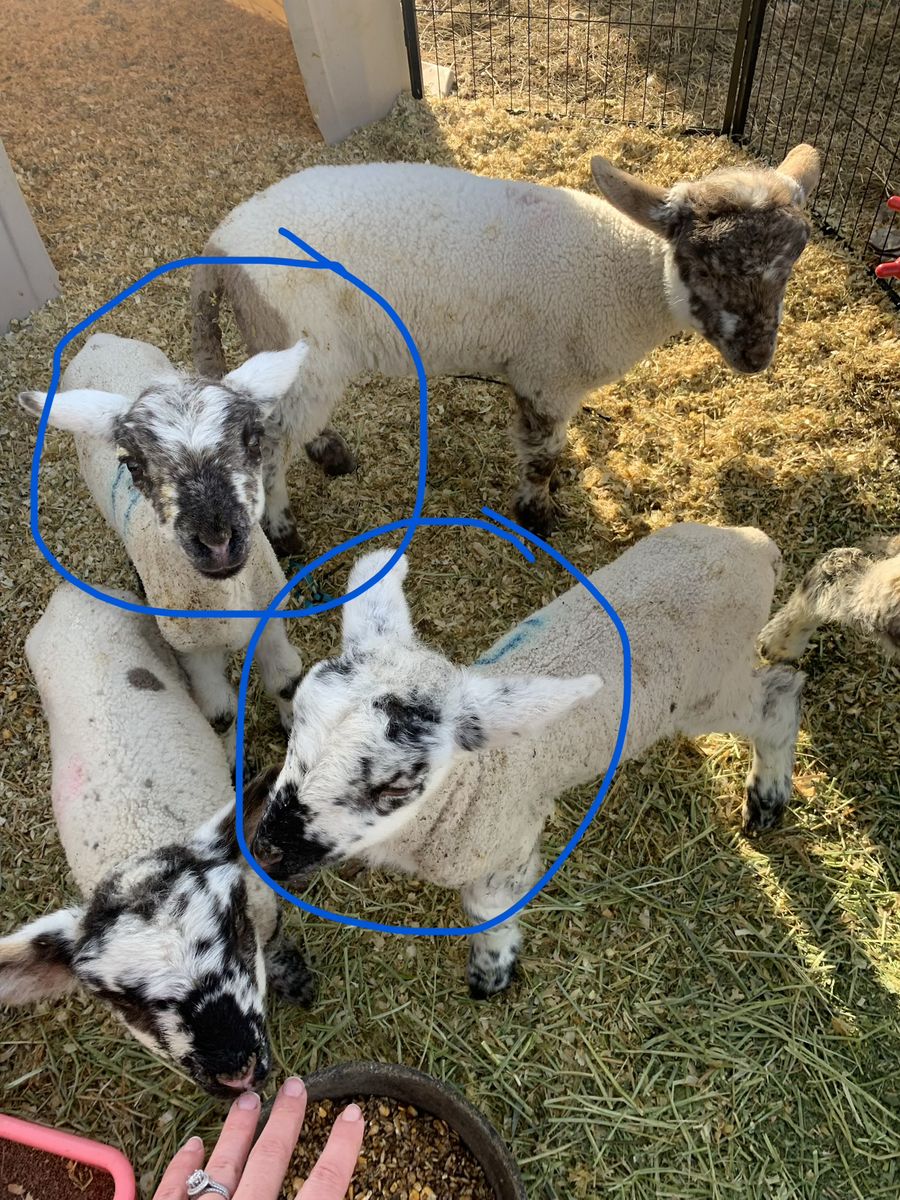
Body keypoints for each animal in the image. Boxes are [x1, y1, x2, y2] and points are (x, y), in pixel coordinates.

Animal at [0, 582, 311, 1097]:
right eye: (125, 1002)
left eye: (234, 929)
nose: (238, 1072)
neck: (144, 837)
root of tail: (69, 592)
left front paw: (296, 980)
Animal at [19, 332, 305, 749]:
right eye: (132, 464)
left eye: (254, 440)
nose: (217, 541)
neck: (230, 596)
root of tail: (100, 339)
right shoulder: (192, 649)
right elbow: (220, 714)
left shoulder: (270, 612)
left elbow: (286, 682)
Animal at [192, 144, 821, 547]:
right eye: (703, 265)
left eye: (791, 262)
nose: (756, 357)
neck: (625, 273)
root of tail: (219, 247)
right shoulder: (547, 376)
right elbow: (543, 454)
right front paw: (536, 515)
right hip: (303, 343)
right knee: (268, 446)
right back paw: (282, 532)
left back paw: (328, 453)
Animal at [249, 525, 806, 999]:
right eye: (295, 723)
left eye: (396, 787)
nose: (266, 852)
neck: (473, 782)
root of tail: (757, 547)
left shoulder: (509, 846)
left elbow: (487, 911)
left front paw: (491, 972)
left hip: (711, 687)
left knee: (780, 694)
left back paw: (767, 799)